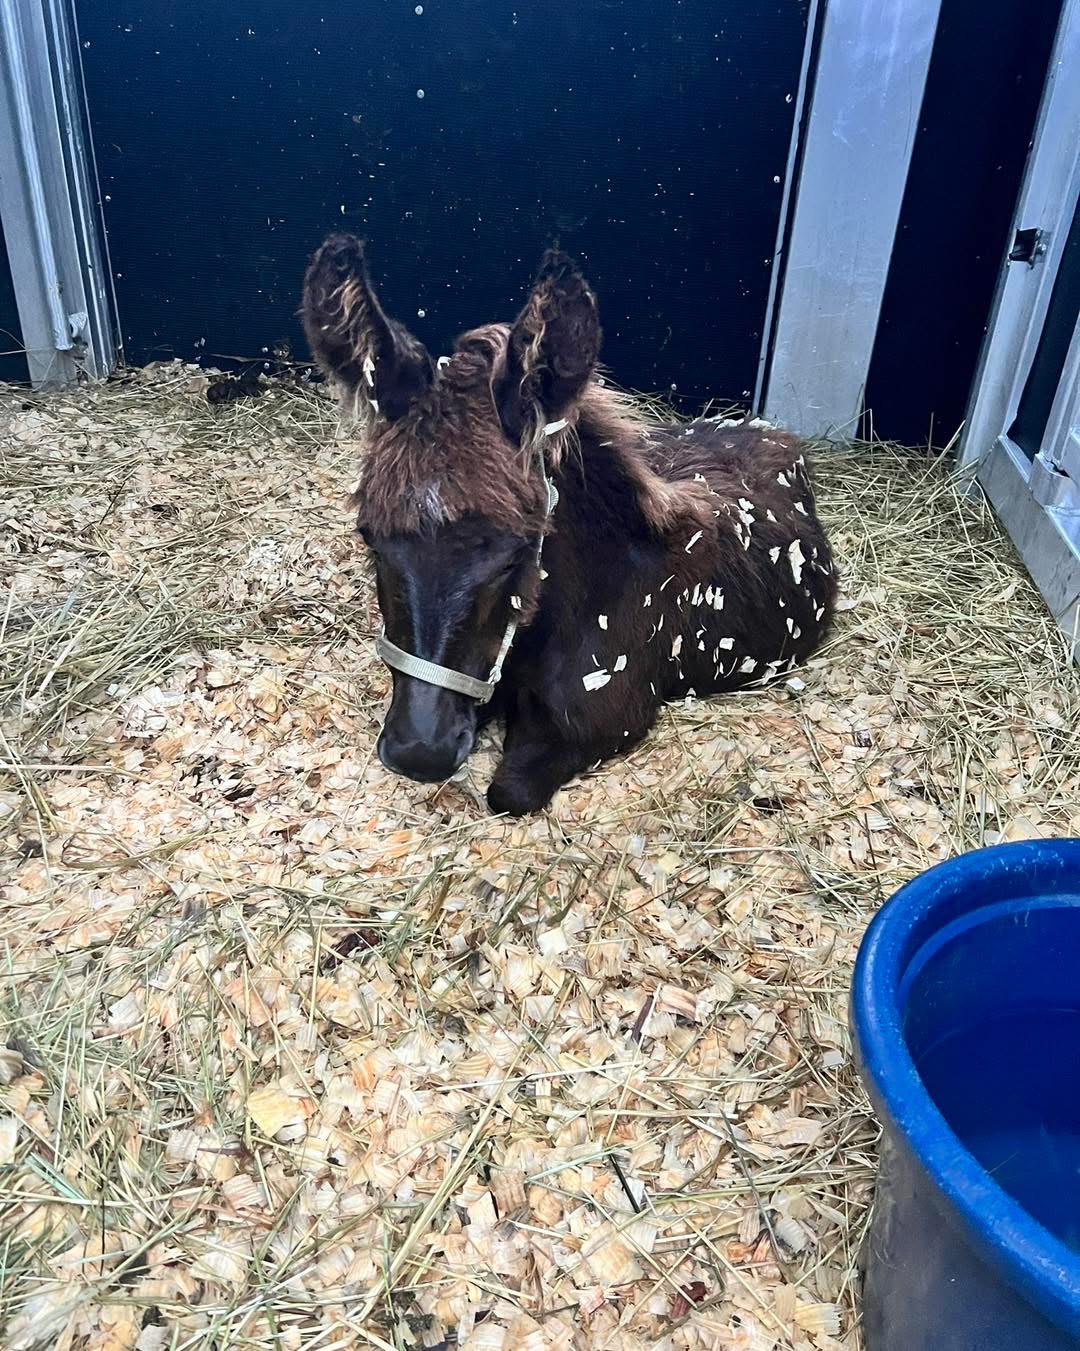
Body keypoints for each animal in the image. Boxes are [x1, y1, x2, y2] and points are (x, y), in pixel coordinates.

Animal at [301, 234, 836, 815]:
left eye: (518, 552)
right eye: (371, 542)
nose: (420, 752)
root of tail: (767, 429)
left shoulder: (602, 724)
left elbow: (507, 791)